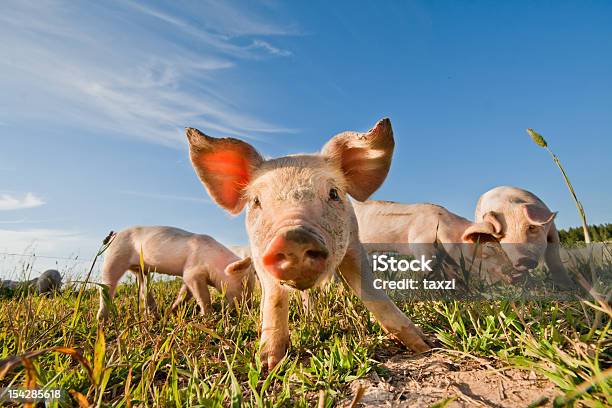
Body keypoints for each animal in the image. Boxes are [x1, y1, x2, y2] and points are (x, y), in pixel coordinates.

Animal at [97, 226, 255, 318]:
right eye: (242, 284)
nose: (249, 308)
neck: (214, 262)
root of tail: (114, 235)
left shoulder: (189, 276)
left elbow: (185, 293)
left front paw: (171, 311)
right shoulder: (192, 271)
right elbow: (203, 295)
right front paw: (208, 316)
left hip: (140, 269)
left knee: (143, 287)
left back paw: (155, 314)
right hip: (114, 256)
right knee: (107, 285)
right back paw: (101, 320)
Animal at [186, 118, 430, 370]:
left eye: (333, 193)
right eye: (256, 201)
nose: (293, 237)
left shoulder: (353, 244)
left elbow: (371, 290)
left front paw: (424, 345)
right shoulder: (259, 256)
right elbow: (274, 298)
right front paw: (269, 365)